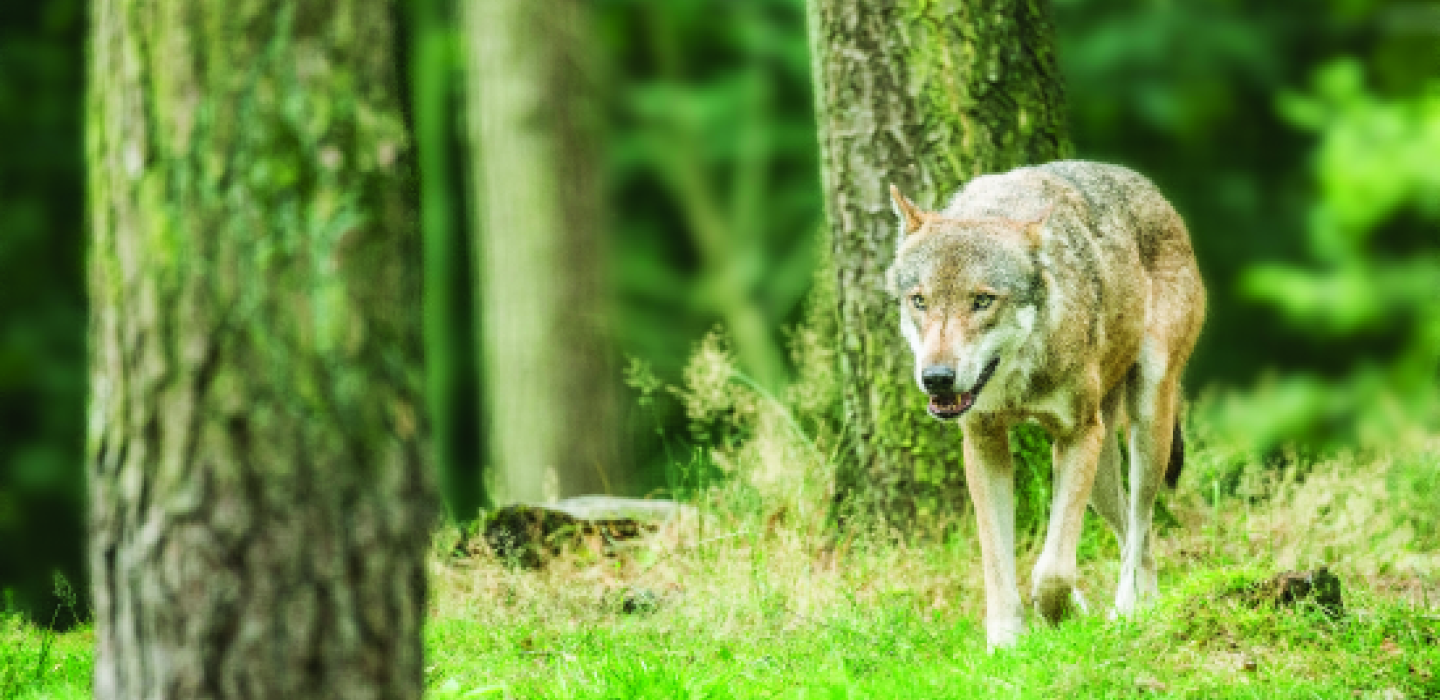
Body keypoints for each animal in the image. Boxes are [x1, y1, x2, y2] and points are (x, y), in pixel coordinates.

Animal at [886, 160, 1205, 649]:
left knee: (1139, 522)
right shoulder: (983, 443)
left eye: (982, 300)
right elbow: (997, 561)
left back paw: (1126, 614)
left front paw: (1058, 612)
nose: (936, 378)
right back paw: (1142, 609)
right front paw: (1005, 642)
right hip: (1102, 474)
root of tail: (1153, 192)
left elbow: (1053, 570)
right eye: (919, 300)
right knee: (1140, 536)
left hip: (1146, 422)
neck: (1019, 383)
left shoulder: (1076, 436)